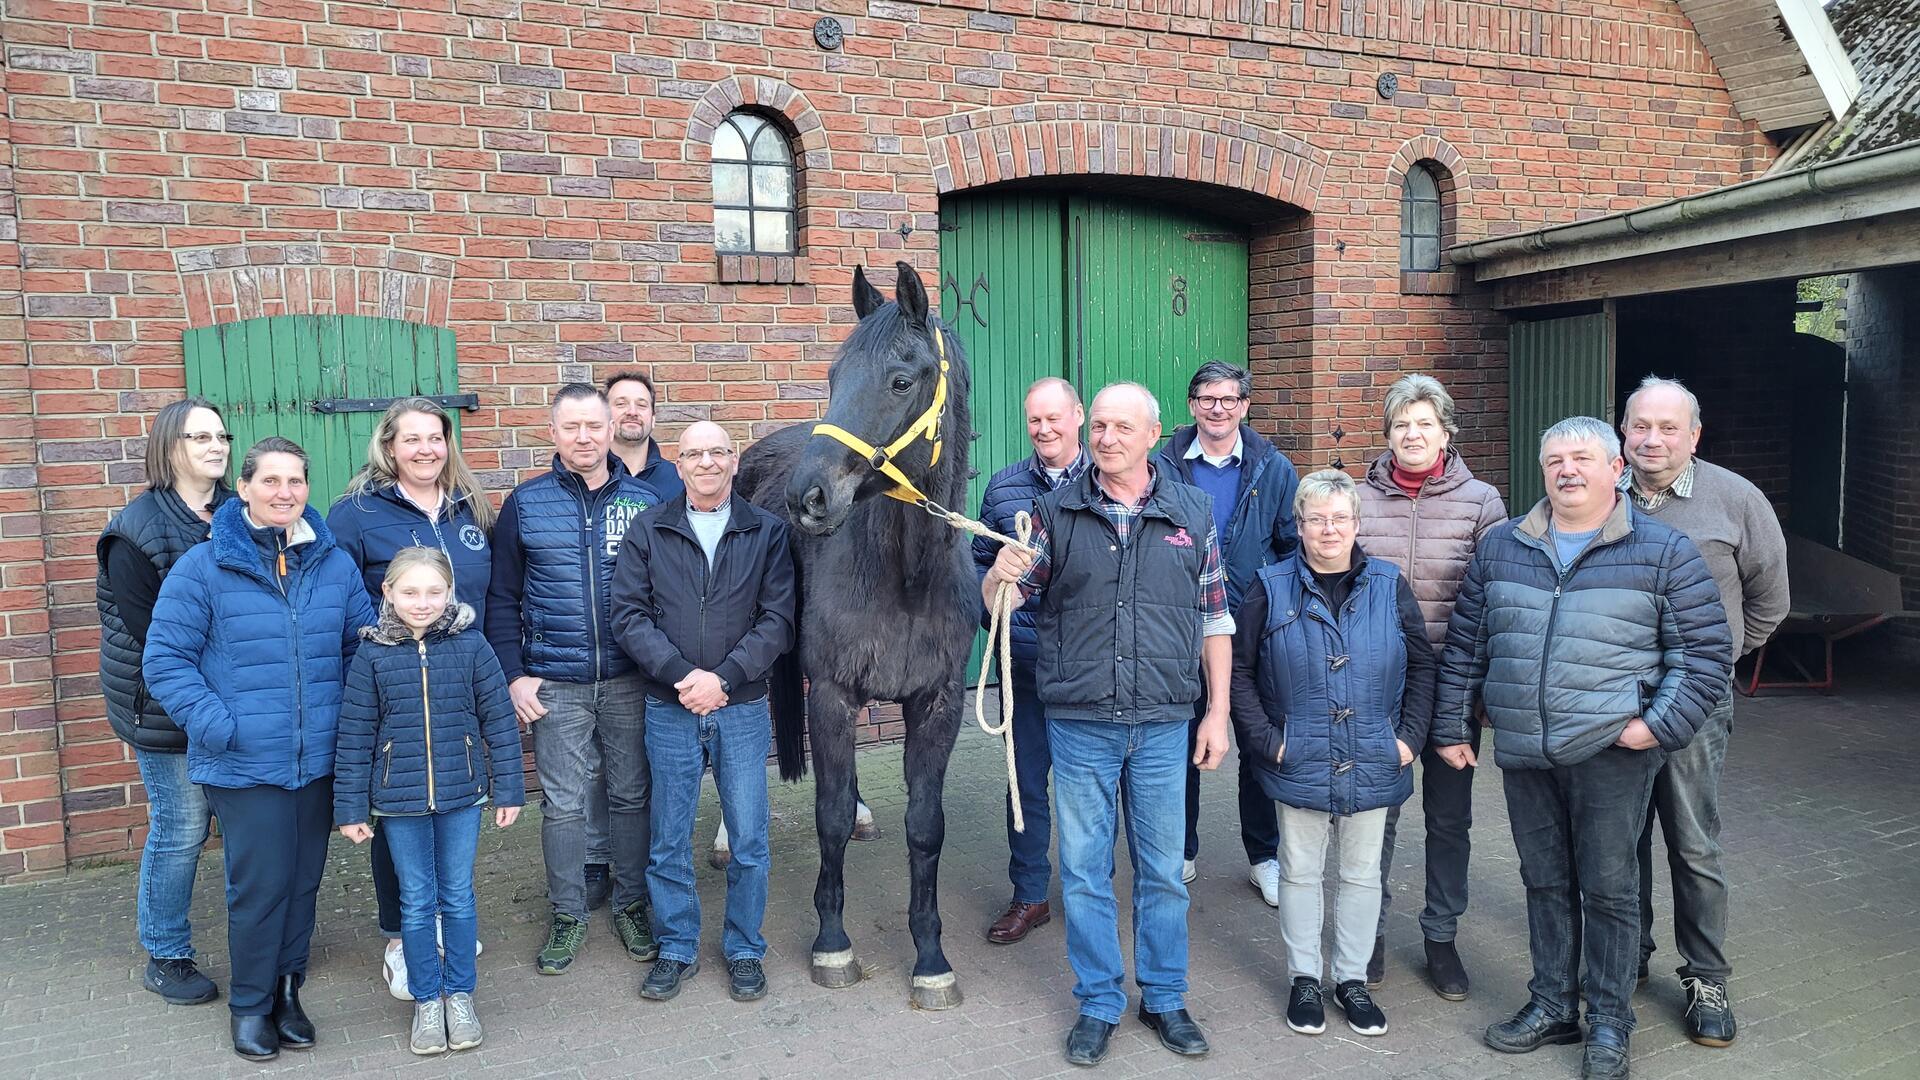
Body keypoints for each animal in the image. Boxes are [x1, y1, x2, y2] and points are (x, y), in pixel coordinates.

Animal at [733, 261, 975, 1006]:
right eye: (836, 376)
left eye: (901, 380)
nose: (808, 498)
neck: (905, 577)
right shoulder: (834, 695)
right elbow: (829, 817)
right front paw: (833, 944)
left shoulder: (937, 705)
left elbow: (926, 827)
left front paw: (931, 957)